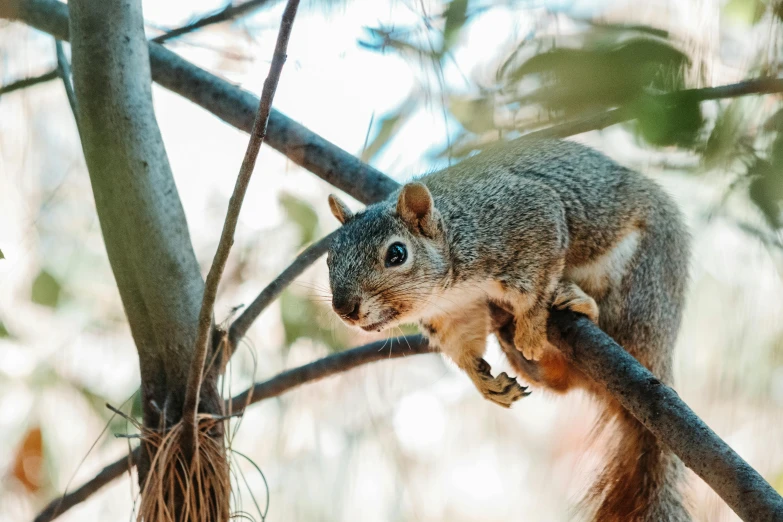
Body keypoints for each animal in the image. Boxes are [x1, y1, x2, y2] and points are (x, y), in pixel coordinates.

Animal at [324, 138, 692, 520]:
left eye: (397, 253)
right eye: (329, 257)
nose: (344, 308)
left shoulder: (527, 218)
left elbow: (536, 285)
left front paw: (529, 329)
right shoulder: (455, 311)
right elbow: (463, 342)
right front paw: (482, 380)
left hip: (642, 285)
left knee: (622, 326)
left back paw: (576, 305)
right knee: (560, 380)